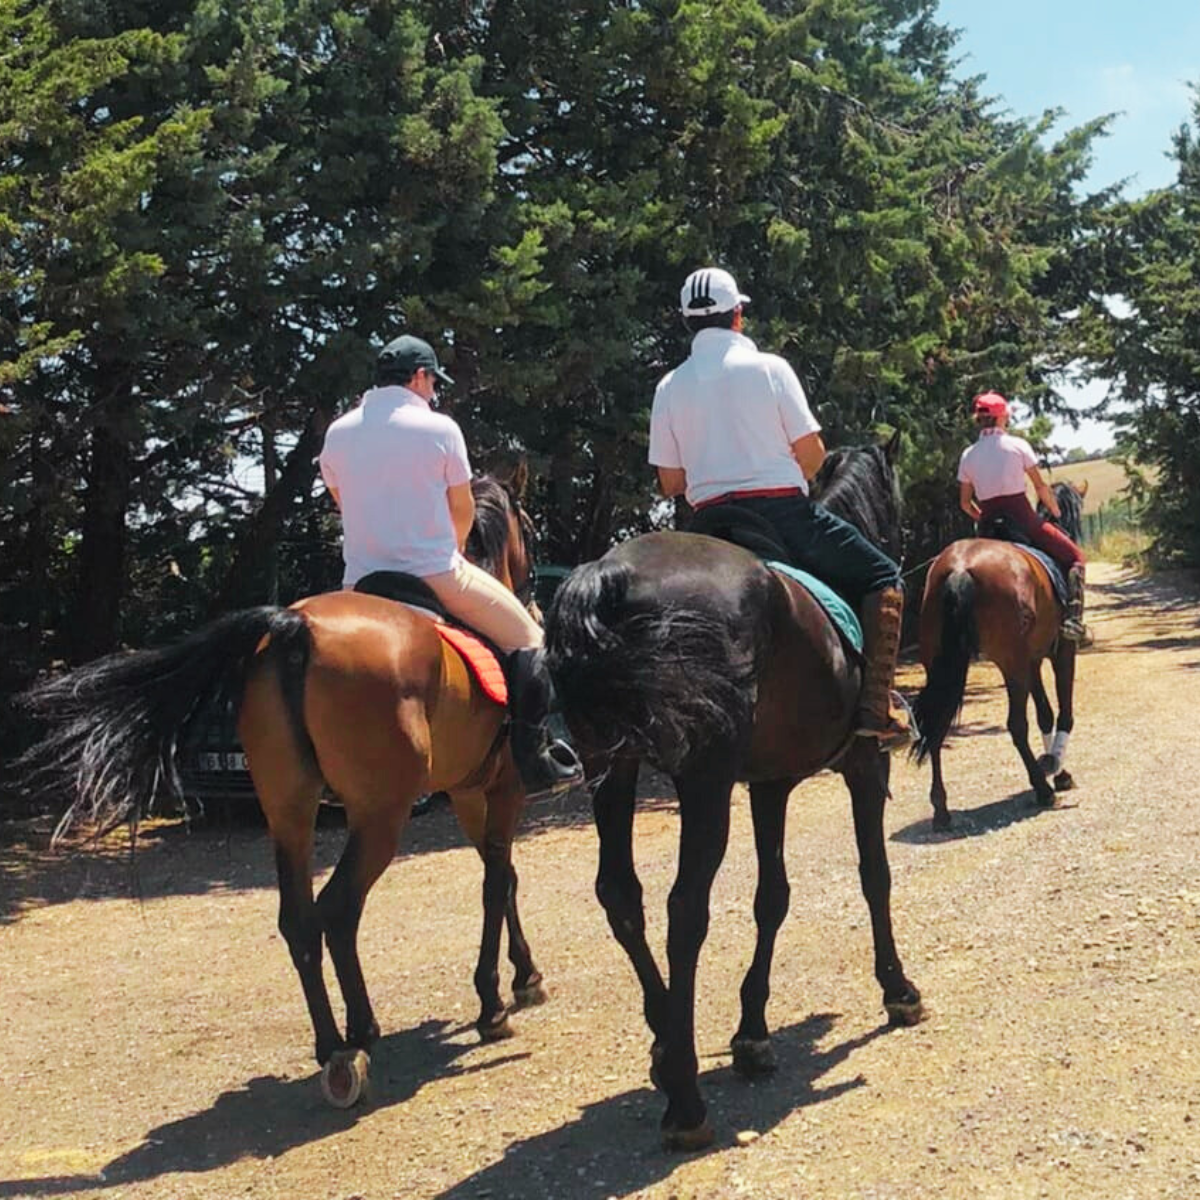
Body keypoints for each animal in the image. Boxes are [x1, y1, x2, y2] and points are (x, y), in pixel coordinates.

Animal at [18, 471, 548, 1107]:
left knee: (299, 919)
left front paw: (523, 976)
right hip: (381, 814)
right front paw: (496, 1000)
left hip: (290, 812)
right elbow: (497, 884)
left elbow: (506, 878)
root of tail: (296, 628)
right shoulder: (504, 787)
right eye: (530, 529)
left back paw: (333, 1045)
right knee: (339, 910)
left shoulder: (470, 792)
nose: (535, 593)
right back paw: (358, 1037)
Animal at [543, 435, 925, 1151]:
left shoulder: (768, 785)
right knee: (684, 909)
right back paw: (686, 1102)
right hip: (703, 780)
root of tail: (609, 577)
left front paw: (752, 1034)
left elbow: (772, 898)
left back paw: (667, 1046)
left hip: (613, 765)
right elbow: (875, 875)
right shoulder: (864, 769)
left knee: (622, 896)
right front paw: (898, 989)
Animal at [911, 479, 1088, 830]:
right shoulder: (1061, 652)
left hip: (942, 665)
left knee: (937, 724)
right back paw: (1042, 789)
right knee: (1016, 725)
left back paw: (941, 809)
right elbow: (1063, 713)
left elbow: (1045, 713)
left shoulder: (1031, 660)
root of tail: (960, 569)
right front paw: (1057, 768)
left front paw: (1055, 765)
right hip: (1011, 665)